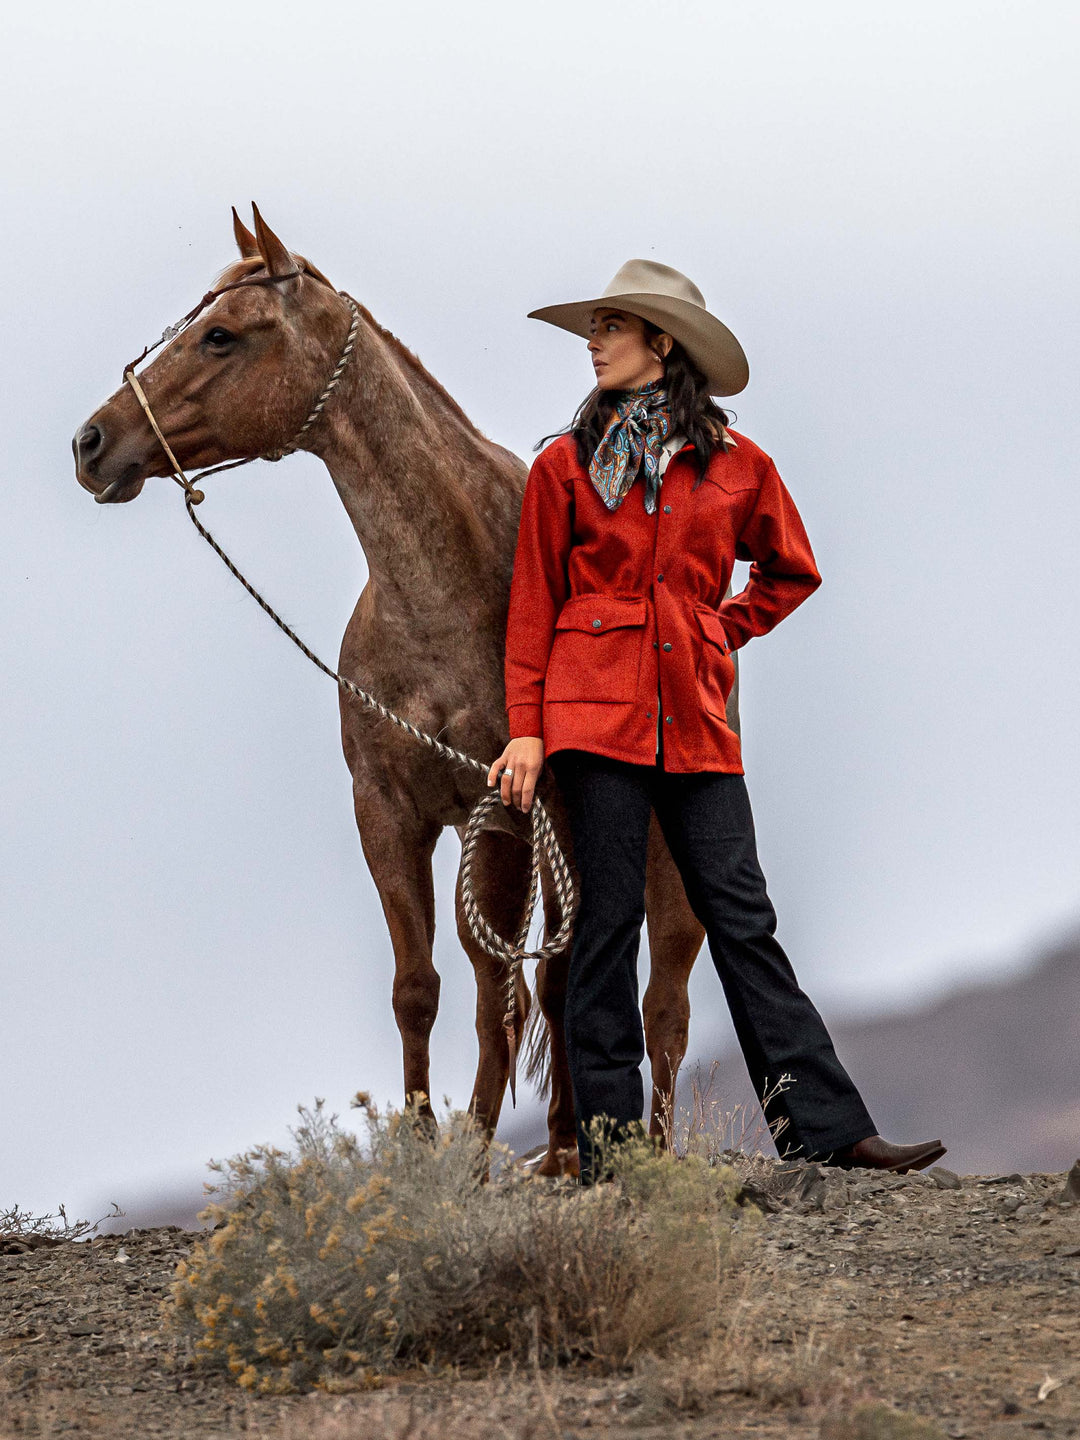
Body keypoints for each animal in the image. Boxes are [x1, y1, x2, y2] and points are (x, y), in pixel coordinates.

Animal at [69, 205, 728, 1169]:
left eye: (221, 335)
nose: (92, 442)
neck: (443, 591)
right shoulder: (390, 811)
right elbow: (423, 986)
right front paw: (431, 1153)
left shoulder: (542, 809)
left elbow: (547, 985)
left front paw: (548, 1152)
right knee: (519, 987)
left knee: (659, 998)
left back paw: (623, 1146)